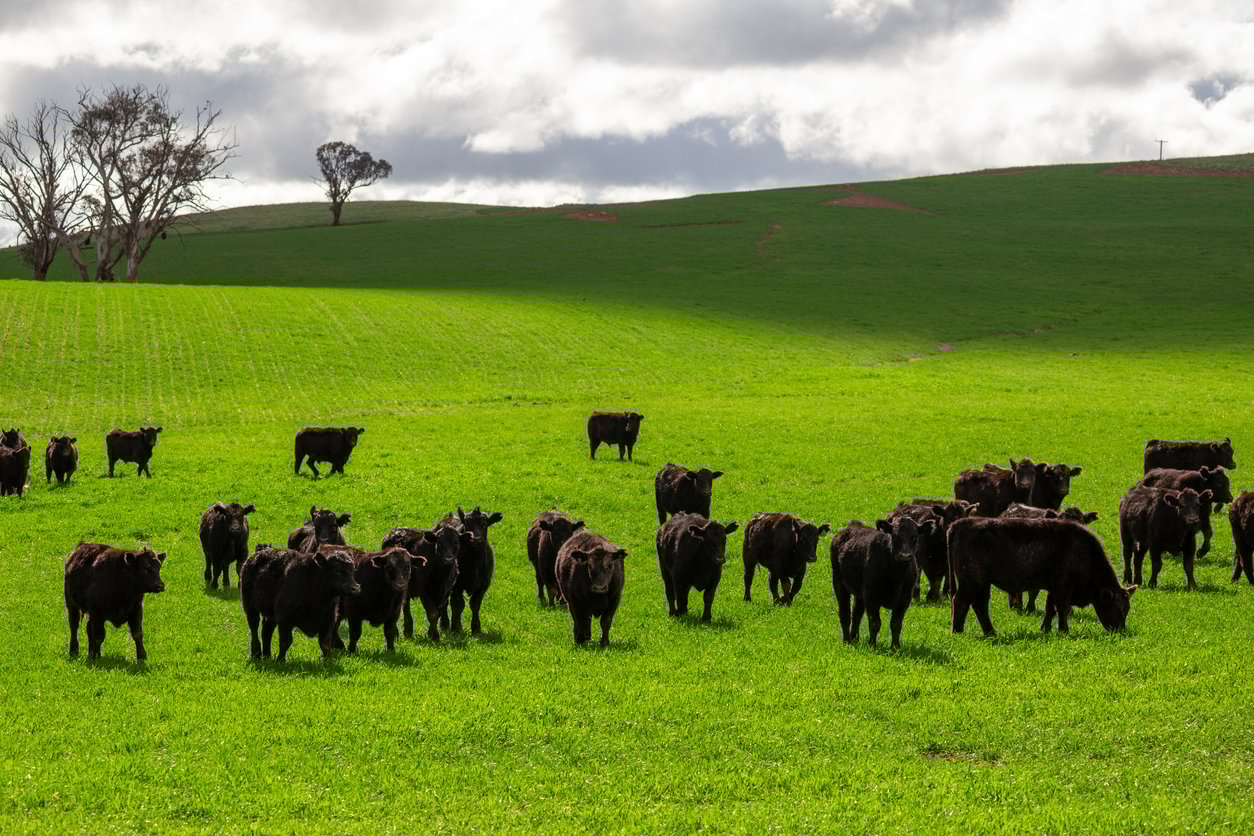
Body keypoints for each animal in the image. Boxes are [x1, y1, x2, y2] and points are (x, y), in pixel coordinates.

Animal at [439, 505, 503, 635]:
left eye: (484, 524)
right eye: (468, 524)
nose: (476, 539)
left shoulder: (483, 584)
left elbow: (475, 604)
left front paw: (476, 628)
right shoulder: (457, 585)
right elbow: (458, 605)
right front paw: (456, 628)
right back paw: (444, 624)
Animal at [830, 517, 925, 648]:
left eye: (914, 536)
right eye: (895, 536)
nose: (905, 556)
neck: (896, 577)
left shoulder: (905, 599)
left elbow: (896, 624)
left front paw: (895, 647)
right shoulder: (871, 597)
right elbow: (875, 623)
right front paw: (872, 645)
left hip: (859, 593)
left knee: (856, 614)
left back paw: (855, 639)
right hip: (839, 582)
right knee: (845, 613)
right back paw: (847, 641)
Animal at [948, 517, 1135, 636]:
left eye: (1127, 609)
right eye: (1116, 609)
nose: (1121, 631)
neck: (1082, 552)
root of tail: (960, 523)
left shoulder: (1053, 588)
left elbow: (1050, 609)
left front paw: (1045, 629)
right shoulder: (1063, 589)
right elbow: (1061, 609)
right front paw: (1064, 631)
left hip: (983, 584)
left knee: (980, 605)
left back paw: (991, 632)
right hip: (971, 582)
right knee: (961, 601)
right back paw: (958, 631)